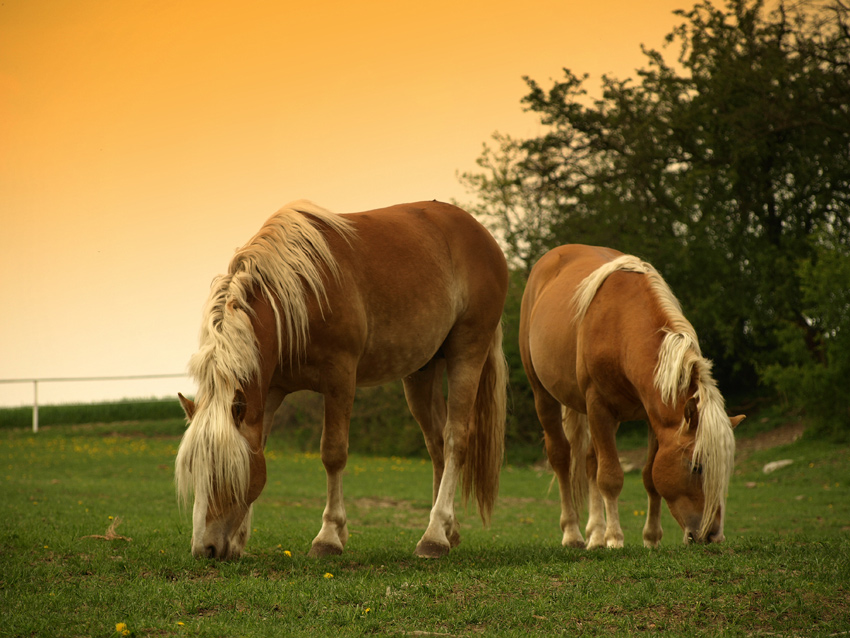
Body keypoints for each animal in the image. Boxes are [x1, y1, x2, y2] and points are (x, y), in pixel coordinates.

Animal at [172, 200, 504, 560]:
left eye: (225, 472)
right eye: (193, 469)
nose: (204, 548)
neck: (297, 295)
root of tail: (482, 235)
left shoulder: (340, 377)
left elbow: (333, 453)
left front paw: (329, 536)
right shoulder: (270, 390)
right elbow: (260, 447)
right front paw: (241, 539)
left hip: (467, 352)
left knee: (456, 438)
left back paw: (434, 536)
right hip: (422, 372)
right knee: (437, 443)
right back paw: (447, 531)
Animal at [512, 245, 740, 552]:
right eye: (696, 466)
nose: (713, 535)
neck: (623, 327)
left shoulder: (654, 419)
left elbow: (649, 476)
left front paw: (651, 538)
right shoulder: (599, 407)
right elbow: (610, 477)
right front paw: (615, 538)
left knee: (589, 461)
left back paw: (595, 534)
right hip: (544, 396)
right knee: (561, 457)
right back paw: (573, 533)